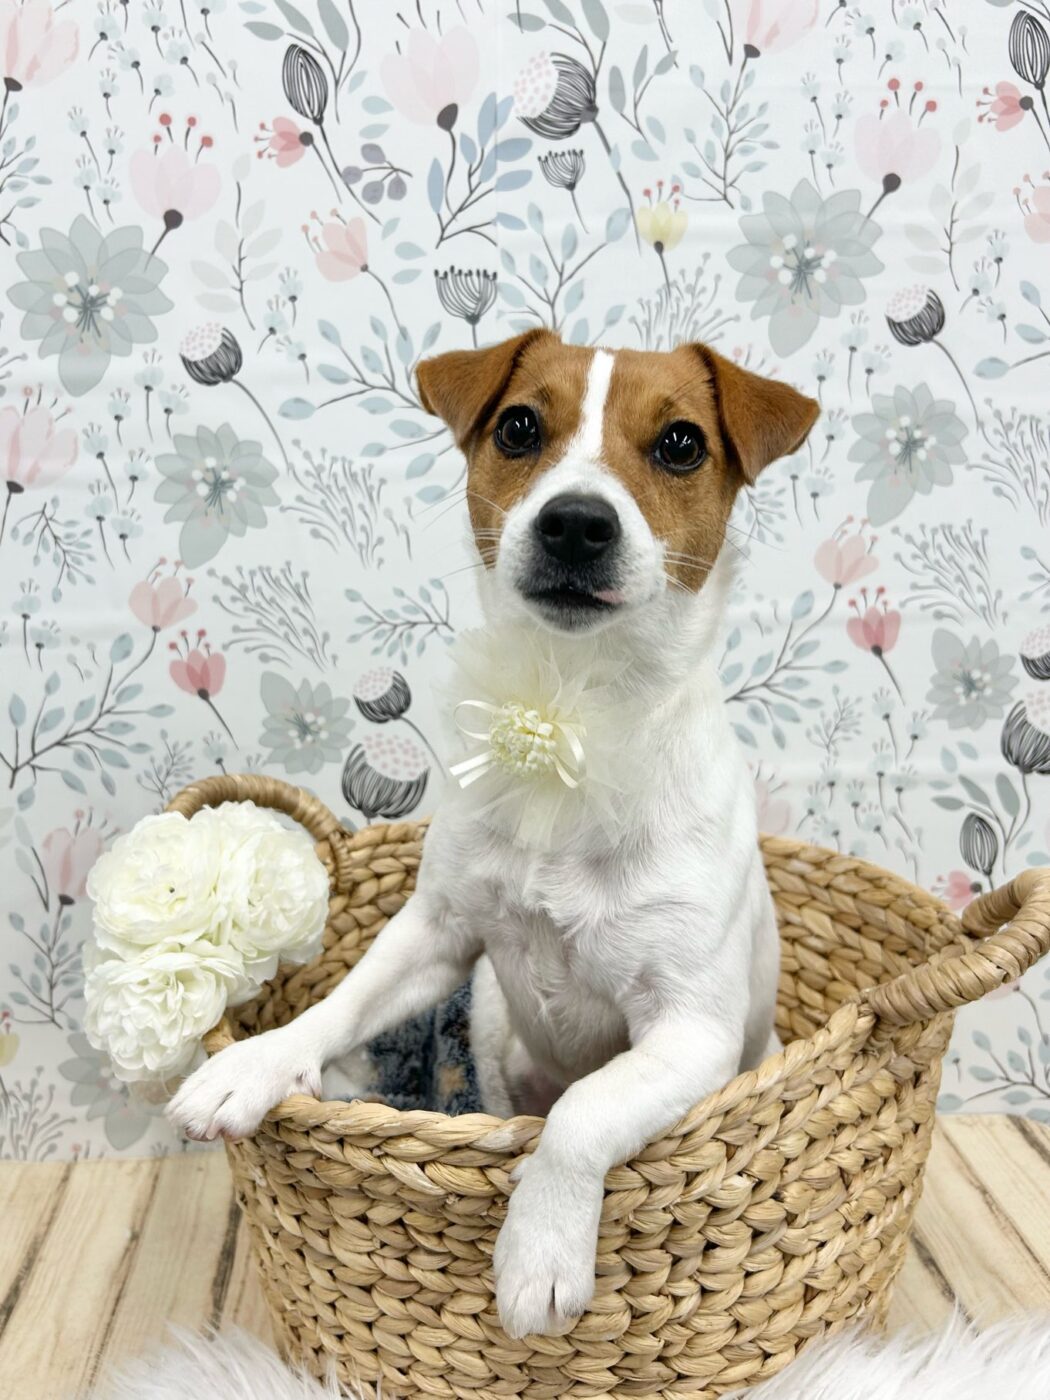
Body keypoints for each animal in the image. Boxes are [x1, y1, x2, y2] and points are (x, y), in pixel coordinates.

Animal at [167, 331, 819, 1339]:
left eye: (680, 443)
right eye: (518, 427)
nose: (576, 523)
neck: (573, 710)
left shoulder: (692, 1031)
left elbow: (587, 1109)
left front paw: (540, 1250)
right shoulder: (435, 934)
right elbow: (341, 1003)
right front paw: (255, 1066)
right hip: (492, 1026)